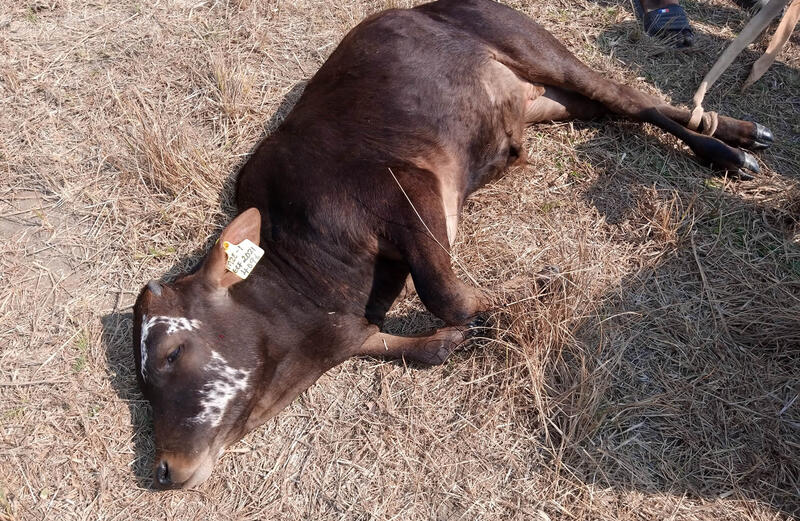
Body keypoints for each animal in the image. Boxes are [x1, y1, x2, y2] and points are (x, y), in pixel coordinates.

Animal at [132, 0, 773, 489]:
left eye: (169, 353)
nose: (163, 469)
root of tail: (420, 7)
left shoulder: (405, 188)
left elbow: (447, 295)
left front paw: (532, 299)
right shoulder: (356, 328)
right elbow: (428, 344)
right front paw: (469, 332)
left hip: (536, 48)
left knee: (631, 96)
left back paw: (731, 144)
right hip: (544, 99)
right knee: (623, 107)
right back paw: (728, 138)